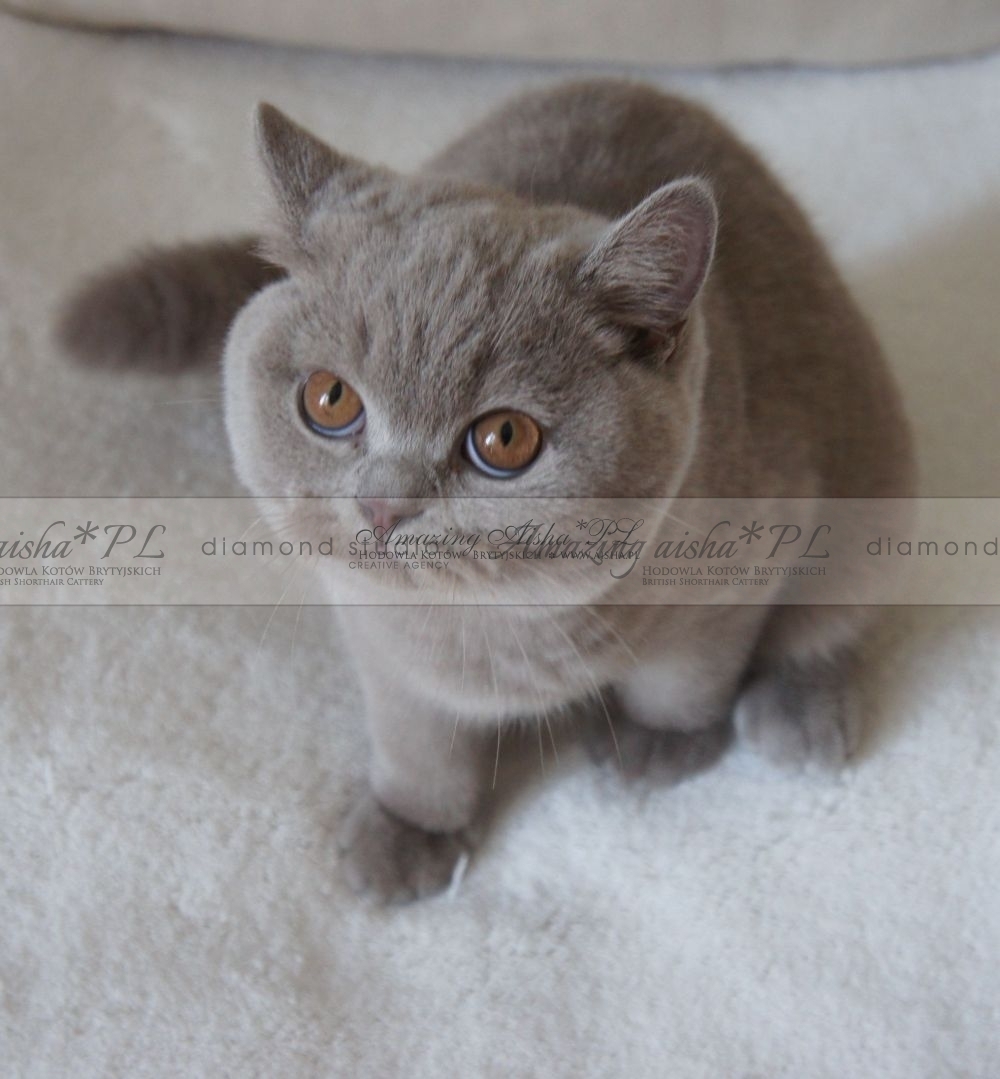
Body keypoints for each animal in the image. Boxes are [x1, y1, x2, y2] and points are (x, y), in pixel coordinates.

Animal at [58, 79, 915, 903]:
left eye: (504, 439)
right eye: (330, 400)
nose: (384, 501)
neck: (497, 621)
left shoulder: (741, 567)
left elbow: (688, 672)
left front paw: (662, 743)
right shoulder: (378, 636)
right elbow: (418, 739)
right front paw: (411, 831)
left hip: (872, 476)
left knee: (836, 610)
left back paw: (799, 709)